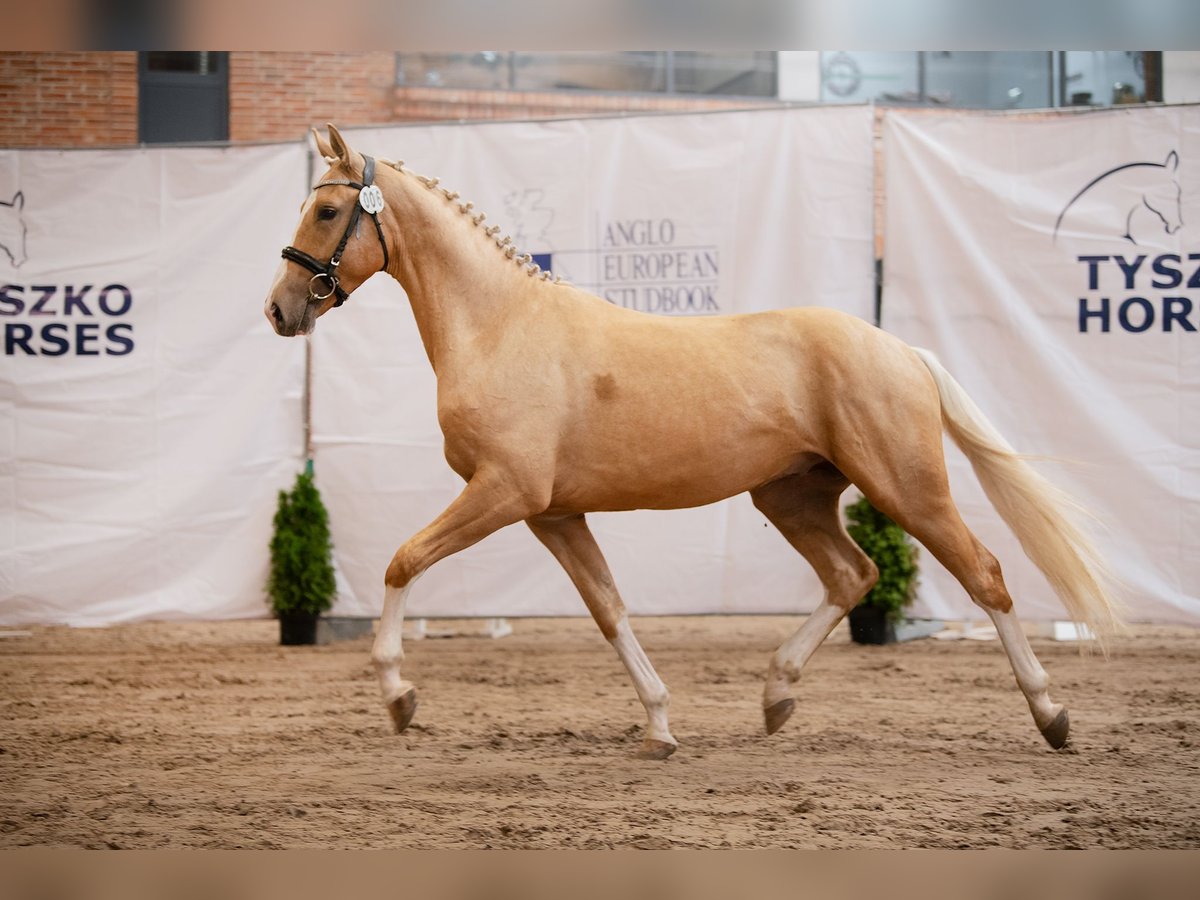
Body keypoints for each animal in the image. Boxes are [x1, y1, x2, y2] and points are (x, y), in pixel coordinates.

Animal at [267, 125, 1118, 763]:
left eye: (328, 210)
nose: (279, 309)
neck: (500, 325)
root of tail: (900, 349)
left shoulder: (505, 492)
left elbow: (403, 559)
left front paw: (398, 696)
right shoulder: (552, 514)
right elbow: (609, 609)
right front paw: (659, 725)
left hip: (908, 488)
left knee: (985, 575)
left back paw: (1051, 715)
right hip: (793, 494)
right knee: (853, 574)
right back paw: (776, 696)